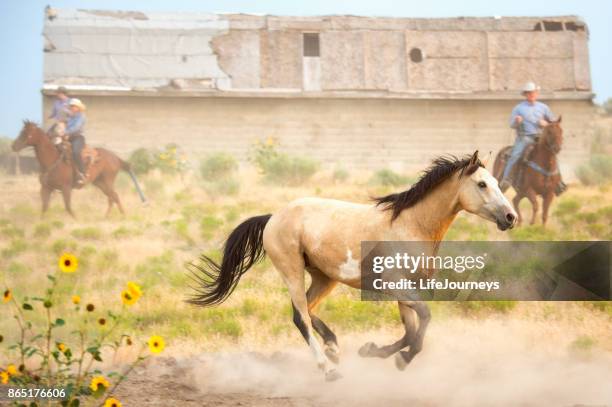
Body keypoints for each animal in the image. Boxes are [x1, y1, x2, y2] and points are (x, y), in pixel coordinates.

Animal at [12, 120, 147, 218]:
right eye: (21, 131)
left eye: (26, 133)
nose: (14, 146)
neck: (52, 160)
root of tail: (115, 157)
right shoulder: (46, 188)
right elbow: (44, 208)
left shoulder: (66, 188)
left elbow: (68, 207)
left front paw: (76, 219)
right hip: (100, 182)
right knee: (111, 197)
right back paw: (106, 217)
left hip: (108, 181)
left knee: (114, 196)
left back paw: (123, 215)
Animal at [186, 151, 516, 380]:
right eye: (482, 184)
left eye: (497, 183)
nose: (511, 217)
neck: (411, 225)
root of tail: (272, 217)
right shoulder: (397, 285)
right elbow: (423, 320)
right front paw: (402, 359)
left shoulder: (406, 290)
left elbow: (411, 329)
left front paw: (374, 351)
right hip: (292, 270)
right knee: (301, 317)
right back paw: (328, 369)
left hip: (324, 277)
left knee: (306, 309)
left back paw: (333, 349)